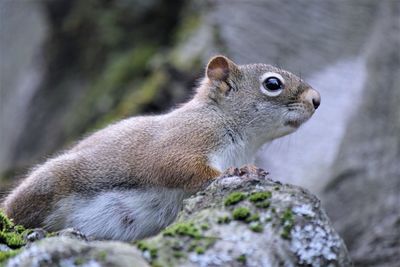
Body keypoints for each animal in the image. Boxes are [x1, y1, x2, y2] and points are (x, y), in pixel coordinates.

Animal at [1, 55, 320, 242]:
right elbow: (180, 169)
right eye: (272, 84)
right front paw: (237, 172)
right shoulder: (183, 141)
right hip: (49, 185)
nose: (316, 100)